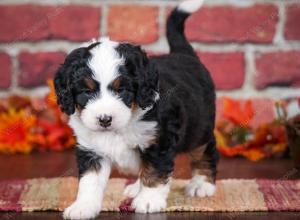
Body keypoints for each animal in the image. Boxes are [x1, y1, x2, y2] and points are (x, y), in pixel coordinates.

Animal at [54, 0, 218, 218]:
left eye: (122, 90)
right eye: (87, 92)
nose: (104, 119)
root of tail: (183, 54)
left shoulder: (159, 140)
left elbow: (154, 171)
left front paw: (148, 201)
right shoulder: (91, 149)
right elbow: (90, 182)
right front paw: (83, 207)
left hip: (198, 127)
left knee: (205, 150)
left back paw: (202, 184)